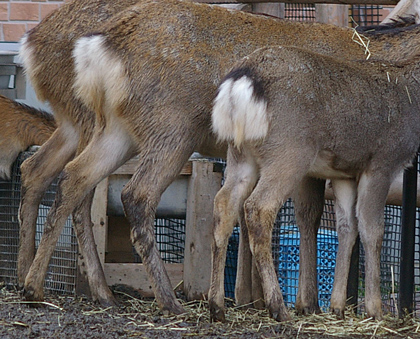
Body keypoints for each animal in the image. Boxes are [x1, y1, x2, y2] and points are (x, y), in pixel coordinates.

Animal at [212, 42, 420, 322]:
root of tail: (240, 82)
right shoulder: (381, 162)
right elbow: (372, 229)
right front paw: (374, 310)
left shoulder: (344, 173)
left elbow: (347, 227)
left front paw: (338, 307)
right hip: (290, 150)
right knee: (259, 207)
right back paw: (278, 308)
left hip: (239, 153)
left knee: (224, 204)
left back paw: (216, 306)